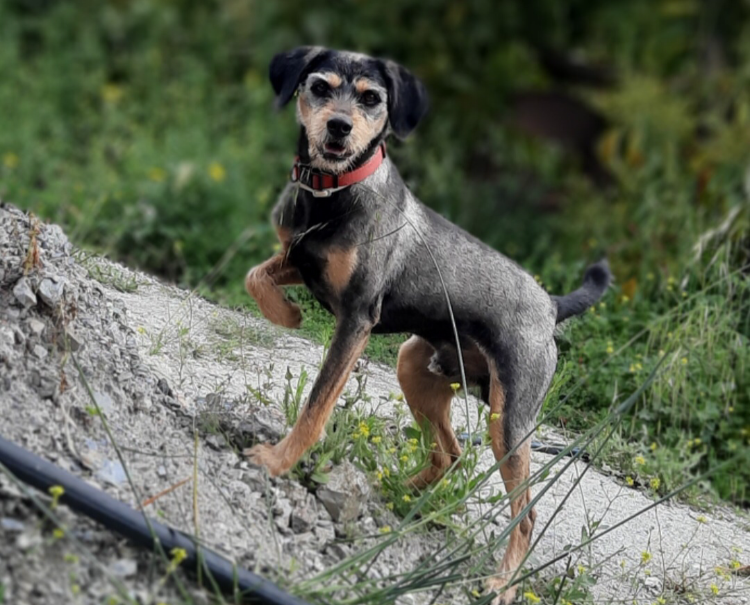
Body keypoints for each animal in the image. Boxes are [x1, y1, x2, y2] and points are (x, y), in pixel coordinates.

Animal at [245, 47, 612, 604]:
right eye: (320, 87)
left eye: (371, 98)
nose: (338, 128)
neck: (334, 193)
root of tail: (550, 306)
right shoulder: (296, 259)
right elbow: (256, 277)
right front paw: (286, 313)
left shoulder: (356, 318)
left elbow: (315, 407)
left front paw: (276, 462)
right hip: (414, 367)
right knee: (451, 453)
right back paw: (399, 493)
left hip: (509, 424)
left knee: (525, 513)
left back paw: (501, 583)